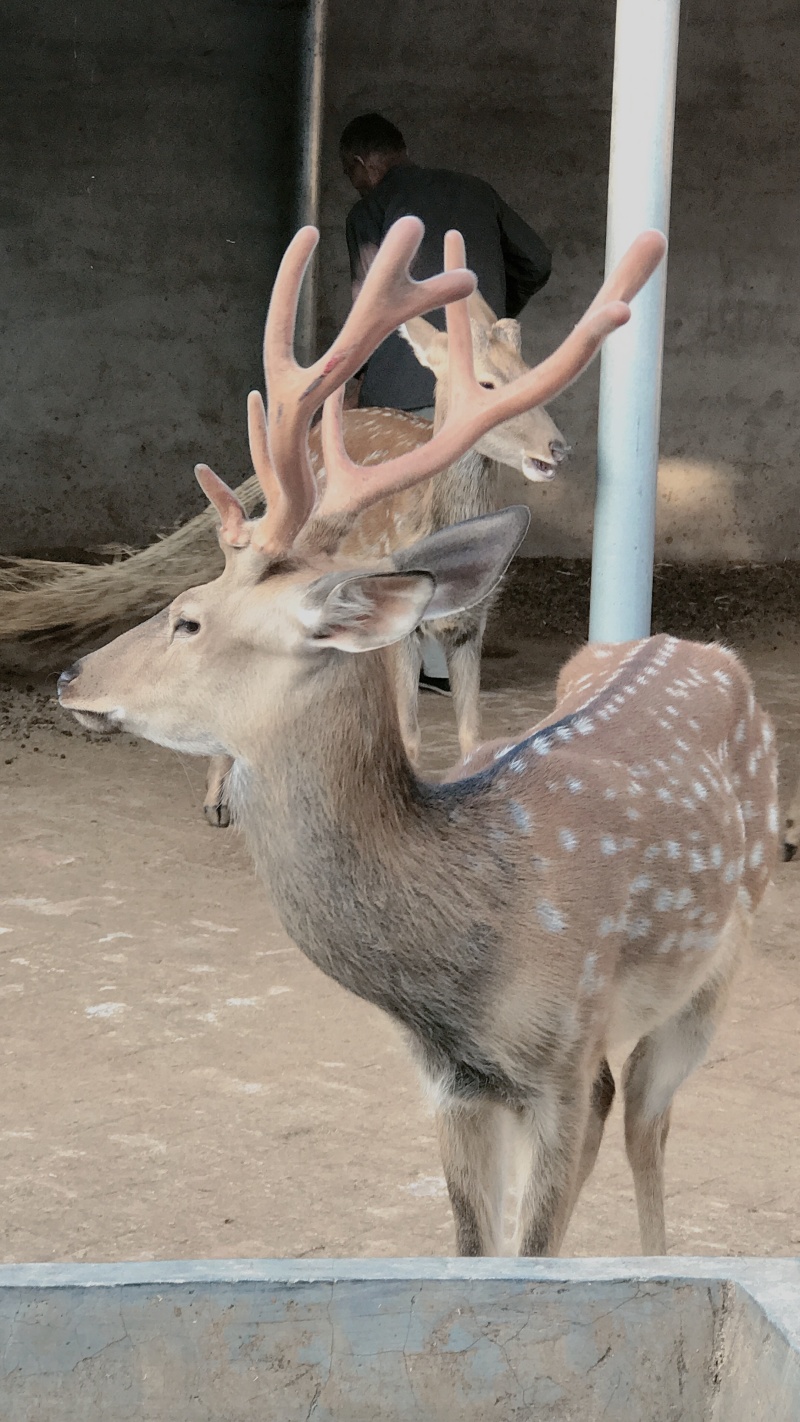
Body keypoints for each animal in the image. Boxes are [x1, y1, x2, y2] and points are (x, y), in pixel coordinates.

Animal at [57, 217, 779, 1258]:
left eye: (188, 618)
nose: (72, 677)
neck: (461, 965)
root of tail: (697, 642)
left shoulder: (563, 1058)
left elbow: (533, 1248)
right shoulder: (450, 1084)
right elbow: (474, 1248)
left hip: (719, 959)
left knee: (649, 1121)